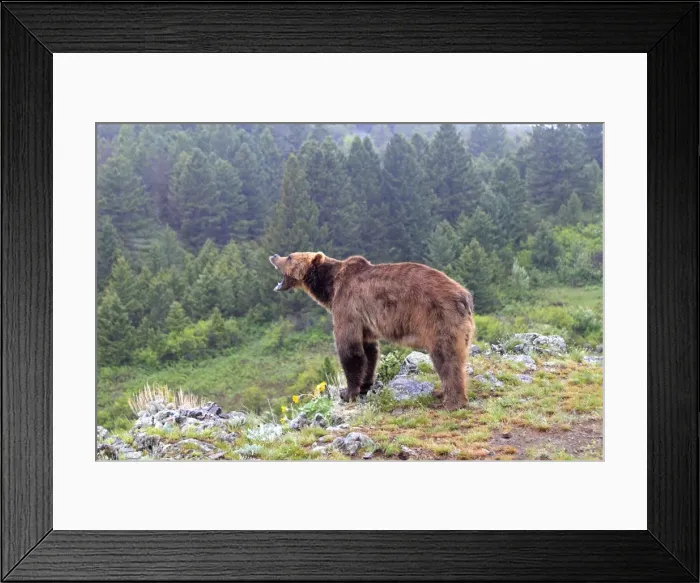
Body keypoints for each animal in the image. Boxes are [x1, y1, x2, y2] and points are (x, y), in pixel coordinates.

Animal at [269, 252, 475, 410]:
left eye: (290, 256)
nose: (274, 255)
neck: (330, 287)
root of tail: (464, 295)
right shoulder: (365, 323)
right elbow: (369, 351)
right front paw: (365, 385)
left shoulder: (347, 306)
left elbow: (350, 349)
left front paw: (347, 392)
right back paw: (441, 392)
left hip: (438, 318)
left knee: (446, 358)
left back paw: (452, 402)